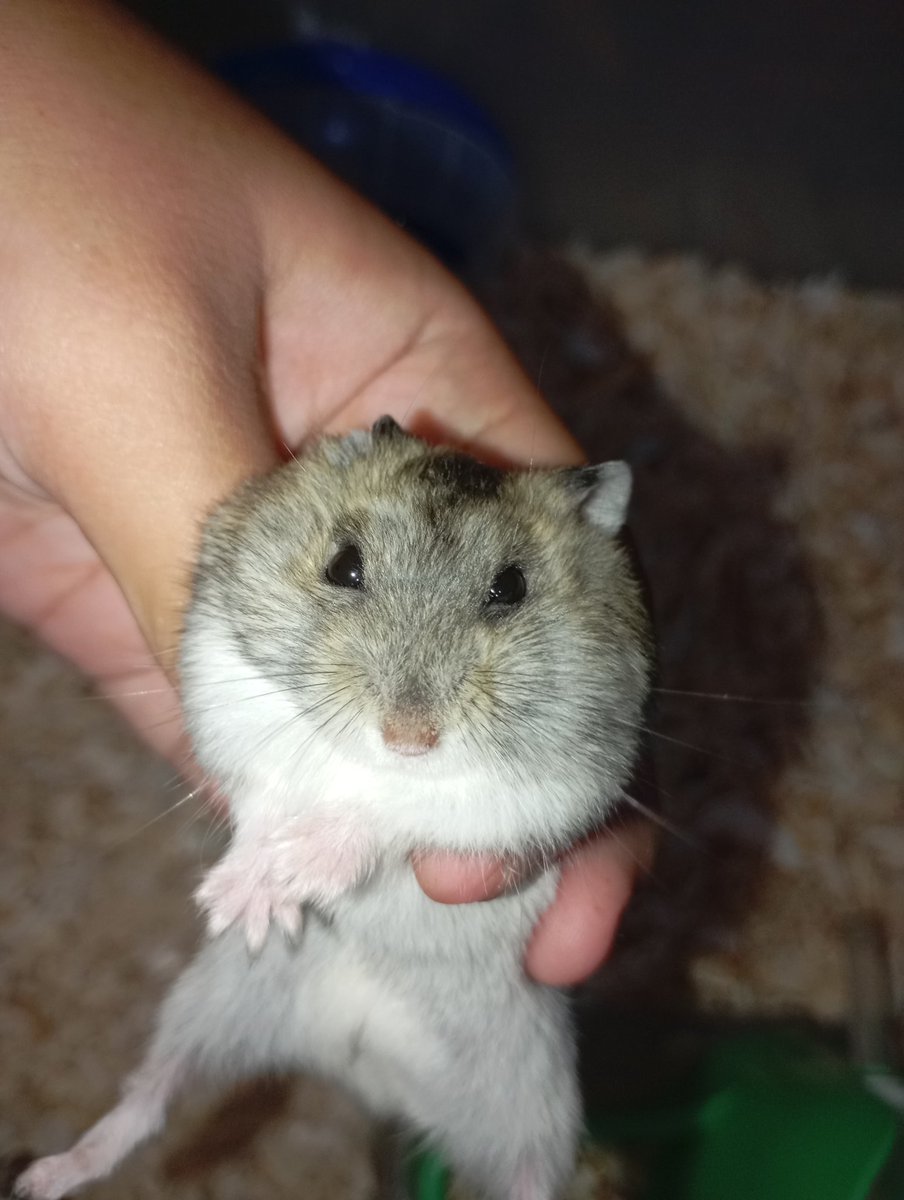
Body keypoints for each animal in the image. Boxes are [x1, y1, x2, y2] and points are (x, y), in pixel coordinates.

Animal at [13, 417, 652, 1200]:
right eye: (344, 567)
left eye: (512, 587)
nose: (409, 737)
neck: (372, 764)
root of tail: (370, 1066)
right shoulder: (227, 691)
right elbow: (267, 799)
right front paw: (245, 900)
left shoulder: (548, 787)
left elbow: (392, 816)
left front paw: (300, 867)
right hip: (220, 996)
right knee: (152, 1097)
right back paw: (45, 1176)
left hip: (537, 1095)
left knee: (530, 1178)